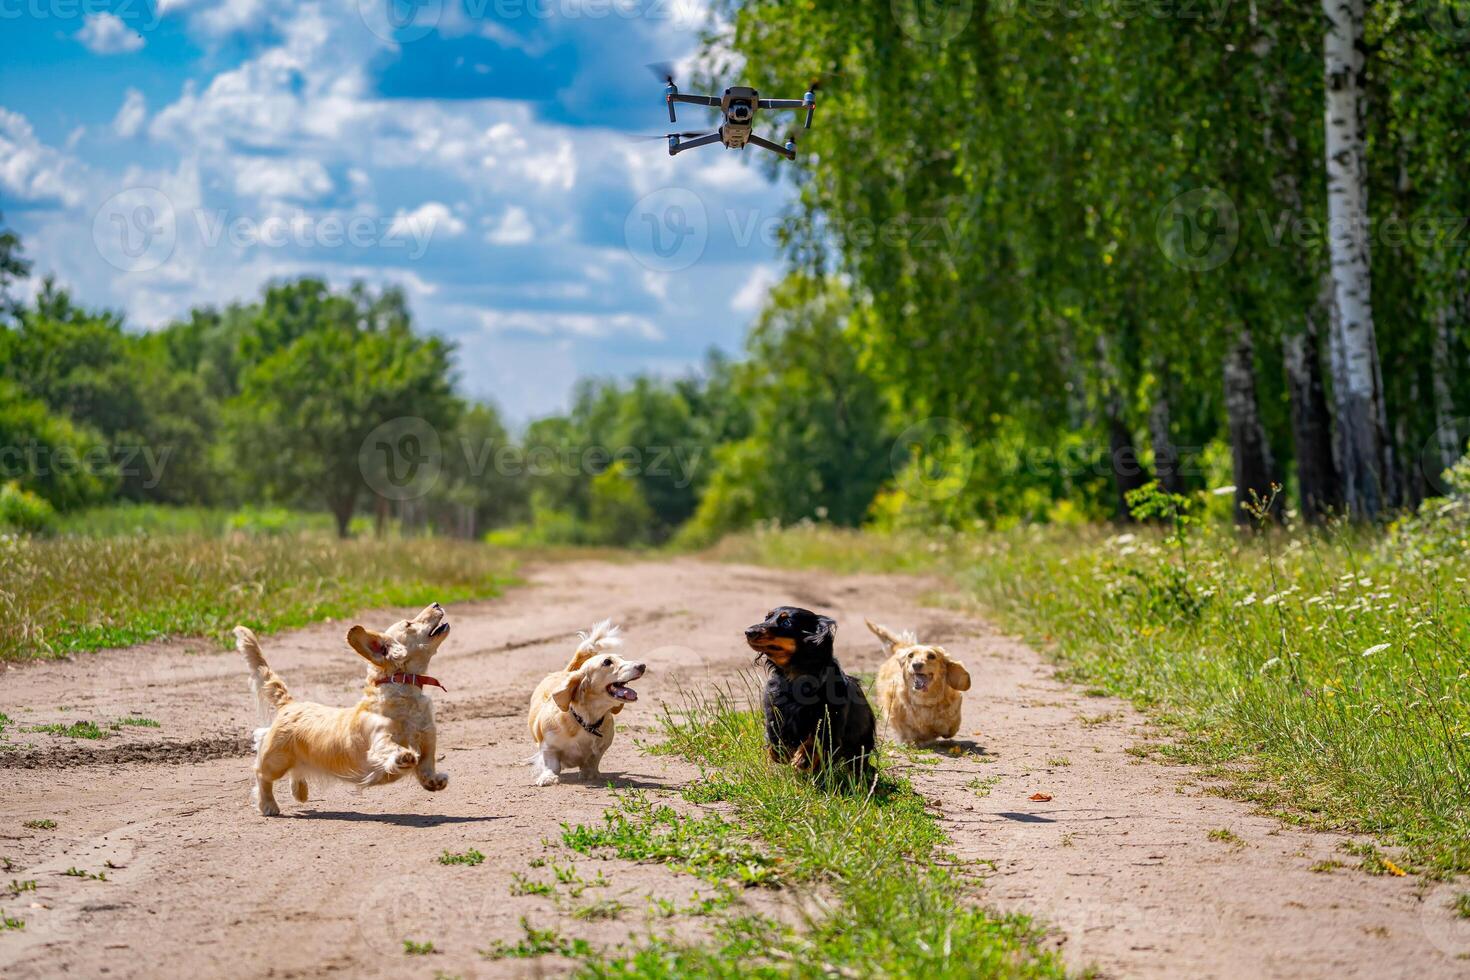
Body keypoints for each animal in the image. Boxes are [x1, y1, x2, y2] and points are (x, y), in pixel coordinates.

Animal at [235, 602, 449, 816]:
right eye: (408, 624)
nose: (436, 604)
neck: (404, 692)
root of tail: (290, 704)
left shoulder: (428, 740)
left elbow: (426, 765)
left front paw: (435, 781)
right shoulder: (379, 740)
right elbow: (392, 748)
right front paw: (404, 756)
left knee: (295, 772)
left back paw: (300, 792)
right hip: (276, 760)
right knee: (261, 774)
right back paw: (268, 805)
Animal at [529, 620, 643, 787]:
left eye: (622, 658)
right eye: (607, 661)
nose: (642, 666)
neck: (585, 721)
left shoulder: (601, 748)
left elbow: (592, 762)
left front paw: (590, 775)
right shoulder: (548, 746)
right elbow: (552, 764)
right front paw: (548, 777)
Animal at [864, 617, 970, 746]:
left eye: (931, 656)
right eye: (911, 655)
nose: (916, 664)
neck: (925, 700)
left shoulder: (954, 710)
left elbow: (951, 727)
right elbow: (909, 732)